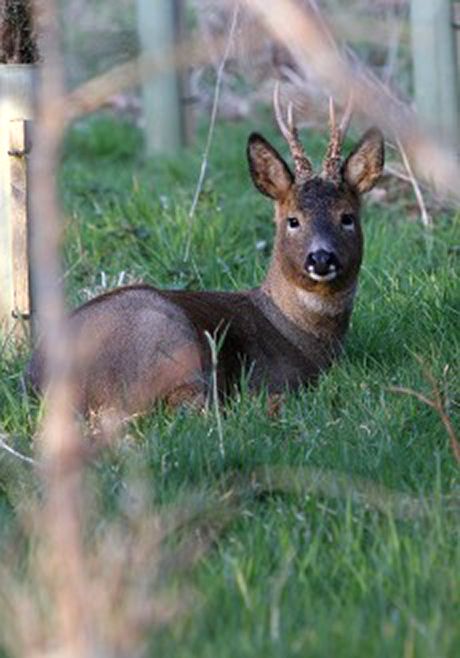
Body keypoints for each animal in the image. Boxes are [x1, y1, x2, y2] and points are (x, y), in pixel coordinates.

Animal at [27, 87, 382, 416]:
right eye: (293, 220)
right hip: (169, 341)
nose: (321, 258)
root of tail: (39, 379)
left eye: (346, 217)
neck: (301, 333)